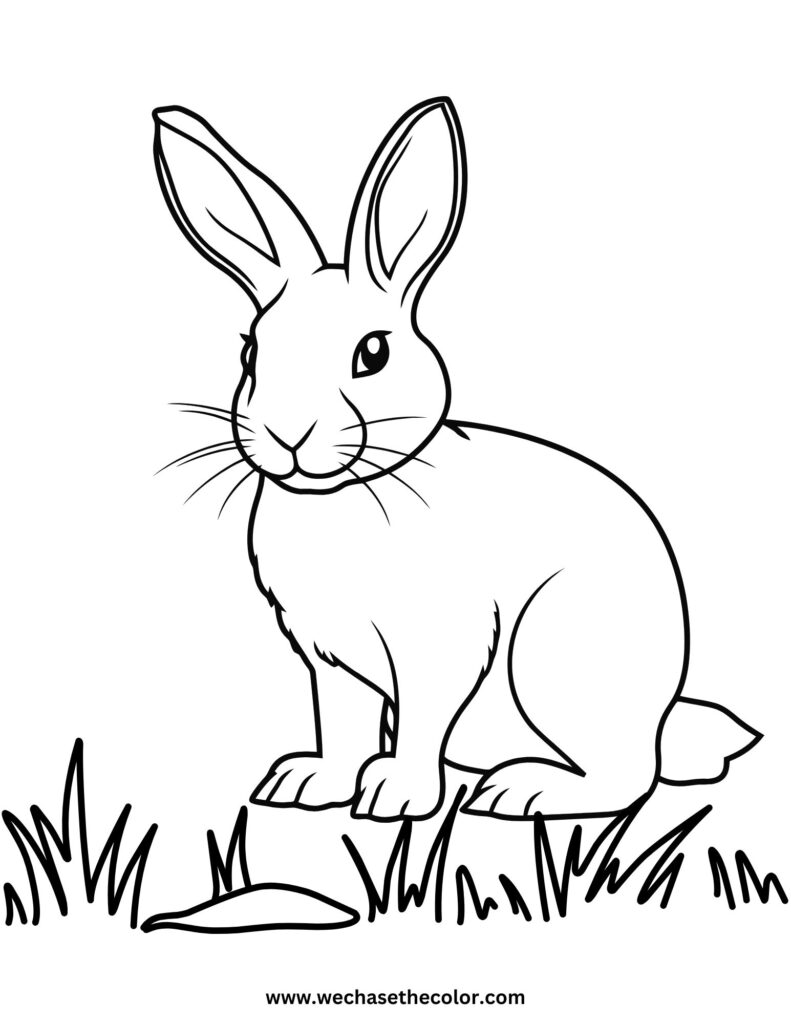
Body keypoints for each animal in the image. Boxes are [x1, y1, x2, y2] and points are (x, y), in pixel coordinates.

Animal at [151, 97, 760, 821]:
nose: (287, 433)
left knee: (627, 776)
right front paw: (310, 784)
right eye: (250, 350)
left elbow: (420, 721)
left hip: (556, 661)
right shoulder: (328, 660)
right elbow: (342, 723)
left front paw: (395, 797)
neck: (343, 496)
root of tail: (664, 713)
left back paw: (522, 789)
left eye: (373, 352)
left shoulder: (437, 645)